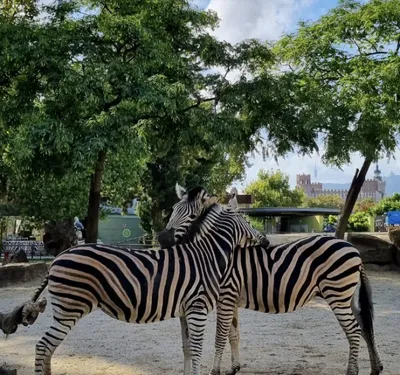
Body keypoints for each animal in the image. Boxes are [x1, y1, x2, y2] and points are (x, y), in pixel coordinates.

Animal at [29, 186, 268, 375]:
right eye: (248, 221)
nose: (265, 241)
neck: (207, 255)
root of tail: (58, 257)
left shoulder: (185, 311)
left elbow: (188, 349)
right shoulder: (197, 309)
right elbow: (198, 350)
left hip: (65, 309)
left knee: (47, 349)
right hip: (69, 309)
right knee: (42, 347)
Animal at [158, 184, 382, 375]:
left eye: (191, 215)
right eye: (173, 210)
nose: (162, 239)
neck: (217, 251)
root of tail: (352, 248)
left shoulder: (226, 296)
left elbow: (220, 337)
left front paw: (216, 371)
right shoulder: (231, 300)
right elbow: (233, 335)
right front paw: (234, 368)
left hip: (337, 293)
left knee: (354, 330)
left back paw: (352, 371)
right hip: (348, 296)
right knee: (364, 327)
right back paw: (375, 367)